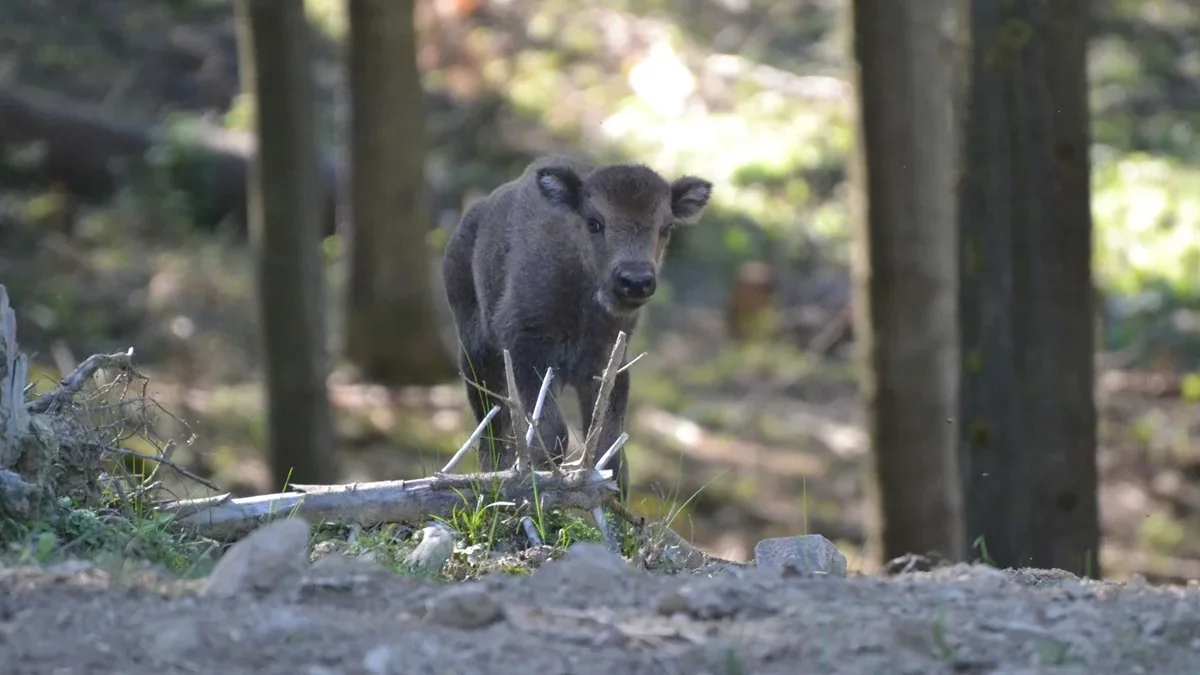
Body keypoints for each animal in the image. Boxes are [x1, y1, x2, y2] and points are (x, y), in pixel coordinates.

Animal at [444, 156, 710, 494]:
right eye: (594, 222)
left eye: (666, 227)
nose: (635, 281)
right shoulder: (527, 351)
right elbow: (552, 435)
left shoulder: (608, 365)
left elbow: (608, 447)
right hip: (475, 355)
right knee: (490, 426)